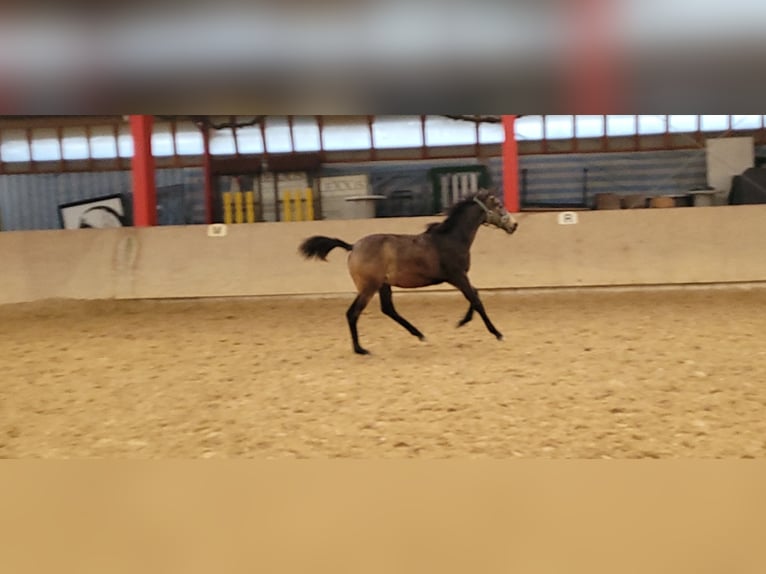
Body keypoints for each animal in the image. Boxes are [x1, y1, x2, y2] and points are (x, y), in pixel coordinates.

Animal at [299, 189, 518, 354]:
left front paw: (462, 322)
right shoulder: (457, 276)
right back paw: (360, 349)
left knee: (388, 309)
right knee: (353, 313)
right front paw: (497, 333)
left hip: (383, 285)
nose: (514, 225)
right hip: (369, 287)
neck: (451, 239)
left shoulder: (459, 277)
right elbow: (476, 300)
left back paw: (419, 334)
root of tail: (353, 247)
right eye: (499, 205)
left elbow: (476, 295)